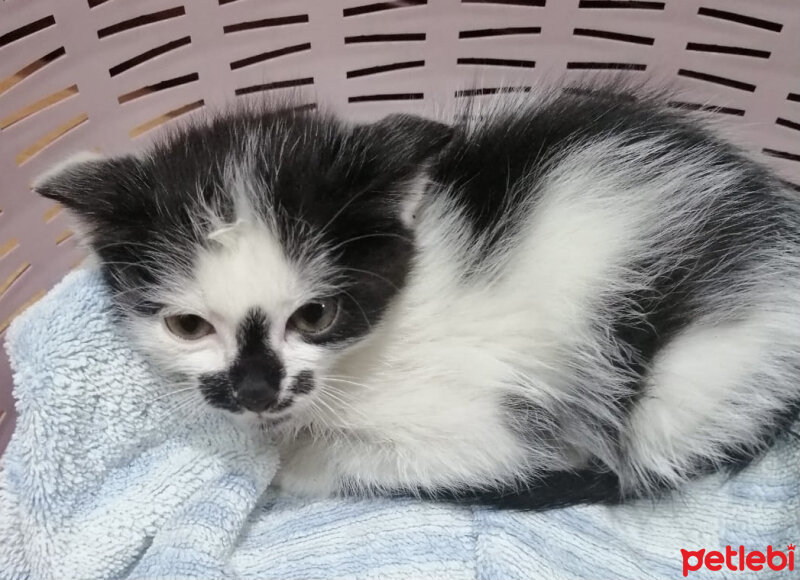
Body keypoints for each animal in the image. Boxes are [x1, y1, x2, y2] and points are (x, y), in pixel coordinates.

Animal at [34, 85, 800, 508]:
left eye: (316, 315)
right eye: (189, 325)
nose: (256, 390)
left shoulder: (492, 424)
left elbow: (393, 458)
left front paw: (291, 470)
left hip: (684, 391)